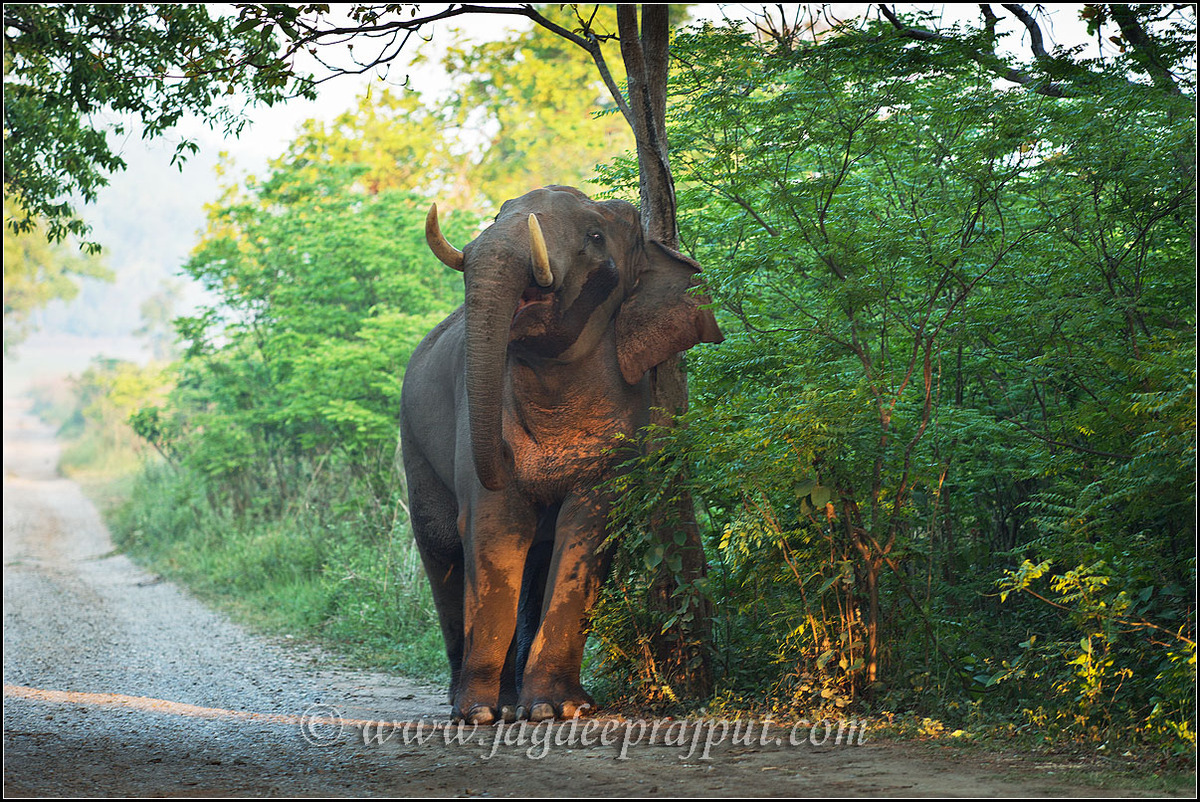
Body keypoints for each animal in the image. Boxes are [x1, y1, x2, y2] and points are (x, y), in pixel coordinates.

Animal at [399, 185, 723, 725]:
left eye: (594, 236)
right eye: (498, 213)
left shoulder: (627, 430)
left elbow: (587, 530)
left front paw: (558, 708)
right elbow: (493, 526)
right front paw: (479, 714)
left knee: (534, 558)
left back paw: (517, 702)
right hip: (412, 445)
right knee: (442, 550)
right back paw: (476, 701)